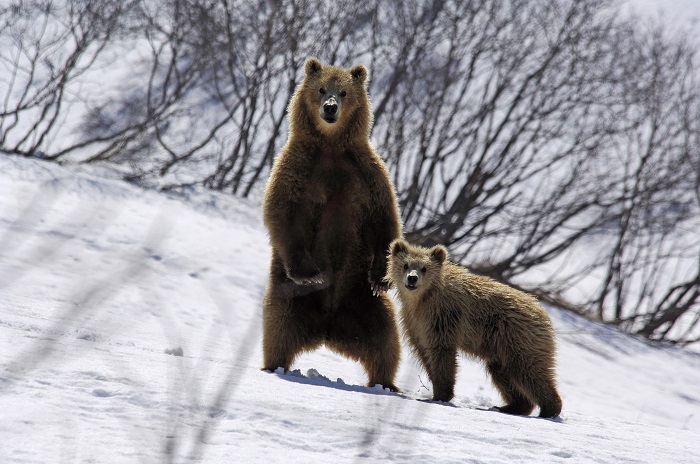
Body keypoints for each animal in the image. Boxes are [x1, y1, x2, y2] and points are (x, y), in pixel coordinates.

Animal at [262, 58, 404, 392]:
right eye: (321, 88)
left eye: (344, 92)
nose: (329, 107)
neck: (330, 145)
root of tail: (327, 327)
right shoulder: (298, 168)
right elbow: (283, 213)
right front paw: (311, 273)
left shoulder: (367, 173)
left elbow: (385, 221)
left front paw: (382, 277)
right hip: (289, 297)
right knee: (278, 328)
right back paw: (274, 366)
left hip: (362, 300)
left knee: (385, 341)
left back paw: (385, 383)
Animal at [386, 239, 560, 416]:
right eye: (405, 265)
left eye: (424, 268)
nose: (412, 279)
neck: (423, 298)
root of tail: (544, 313)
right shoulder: (416, 323)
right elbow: (425, 353)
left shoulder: (443, 317)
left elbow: (442, 354)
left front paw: (439, 395)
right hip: (501, 349)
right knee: (503, 373)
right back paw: (510, 406)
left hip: (519, 338)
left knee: (529, 371)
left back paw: (549, 410)